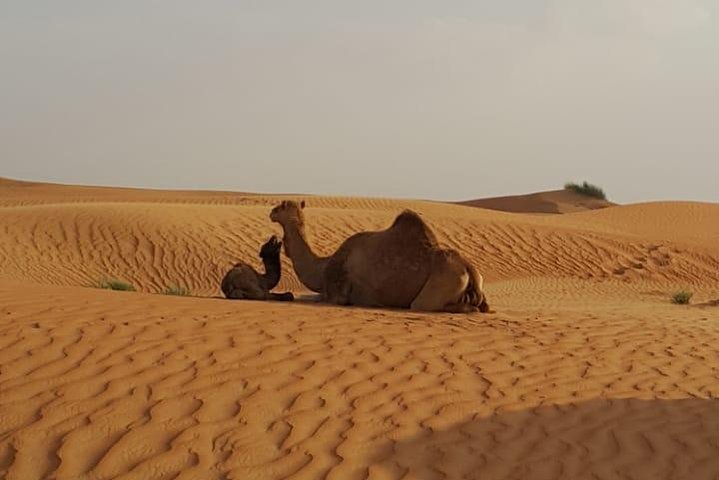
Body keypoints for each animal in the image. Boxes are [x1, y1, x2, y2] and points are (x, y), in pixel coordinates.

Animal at [270, 200, 489, 313]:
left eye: (282, 206)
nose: (271, 212)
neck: (323, 265)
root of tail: (468, 268)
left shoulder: (337, 294)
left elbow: (314, 297)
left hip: (440, 285)